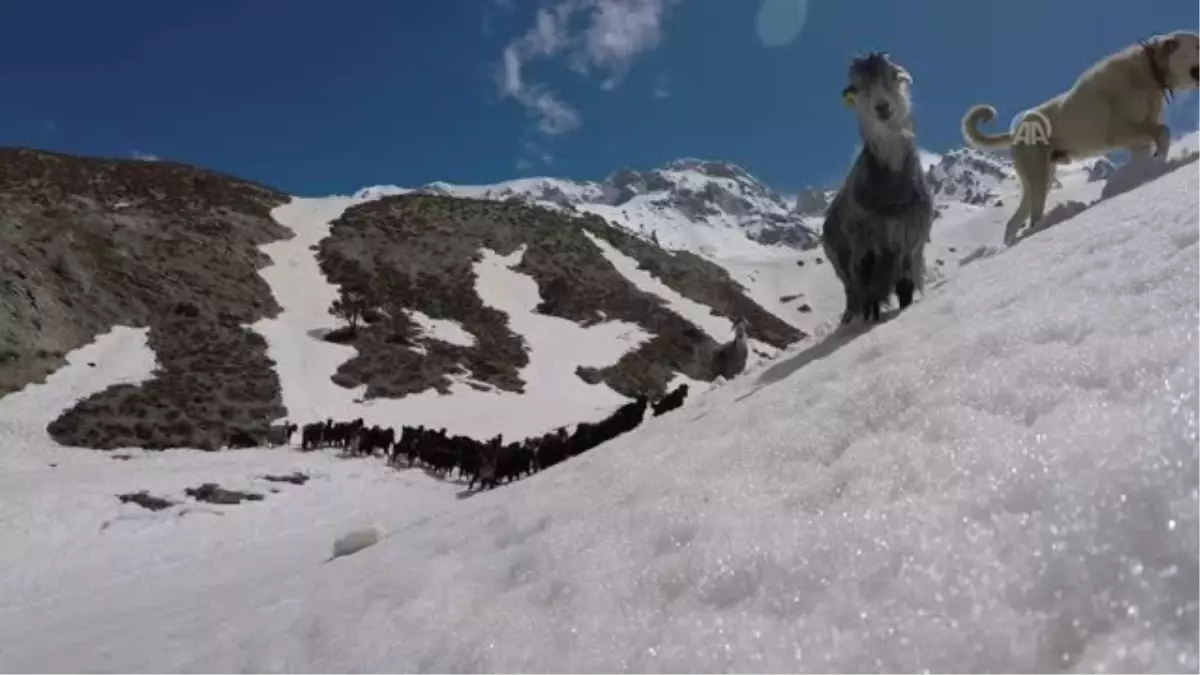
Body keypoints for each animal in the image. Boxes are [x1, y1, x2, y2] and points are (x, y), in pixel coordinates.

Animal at [825, 51, 936, 321]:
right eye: (857, 88)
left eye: (894, 76)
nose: (882, 107)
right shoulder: (865, 246)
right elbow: (869, 293)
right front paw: (871, 320)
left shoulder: (910, 240)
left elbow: (905, 286)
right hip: (844, 267)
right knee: (859, 293)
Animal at [960, 31, 1200, 246]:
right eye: (1198, 44)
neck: (1149, 69)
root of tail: (1015, 131)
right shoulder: (1121, 131)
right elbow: (1164, 132)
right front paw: (1159, 161)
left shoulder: (1138, 142)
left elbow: (1152, 145)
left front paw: (1148, 169)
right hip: (1039, 178)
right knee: (1033, 218)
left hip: (1040, 179)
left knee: (1014, 222)